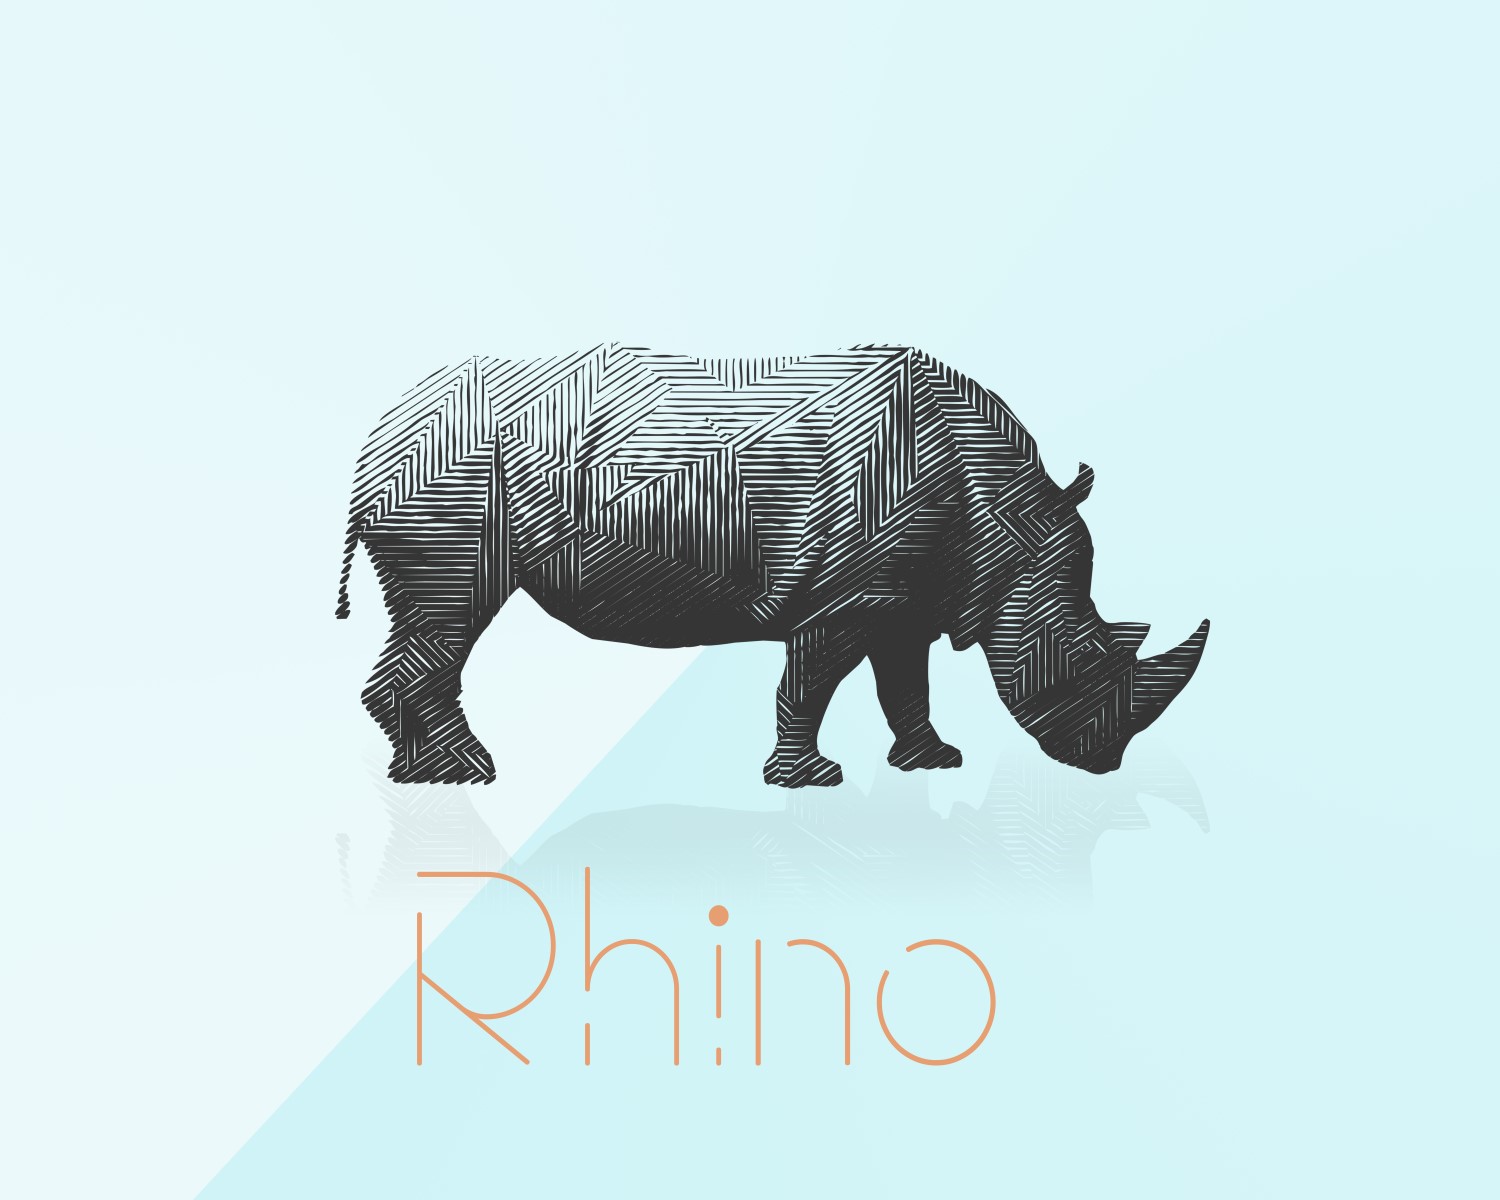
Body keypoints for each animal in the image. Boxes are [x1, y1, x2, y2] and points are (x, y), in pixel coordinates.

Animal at [336, 344, 1208, 787]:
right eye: (1084, 661)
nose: (1103, 763)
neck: (1008, 526)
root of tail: (380, 425)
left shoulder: (907, 598)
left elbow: (906, 683)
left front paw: (931, 762)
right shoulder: (848, 597)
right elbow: (809, 683)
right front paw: (809, 779)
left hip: (447, 467)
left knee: (434, 623)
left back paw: (416, 774)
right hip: (453, 475)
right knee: (452, 612)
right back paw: (463, 775)